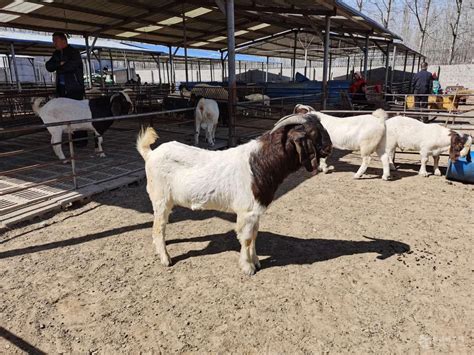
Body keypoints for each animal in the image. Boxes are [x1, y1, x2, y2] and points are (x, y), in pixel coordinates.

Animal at [135, 112, 332, 276]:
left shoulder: (255, 212)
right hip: (161, 199)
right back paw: (165, 258)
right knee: (158, 228)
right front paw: (248, 267)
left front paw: (256, 262)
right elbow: (246, 239)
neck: (260, 164)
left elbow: (254, 236)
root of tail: (150, 154)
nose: (329, 148)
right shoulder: (246, 211)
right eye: (314, 133)